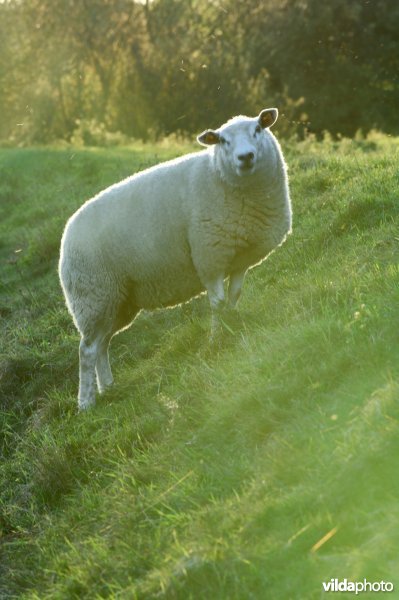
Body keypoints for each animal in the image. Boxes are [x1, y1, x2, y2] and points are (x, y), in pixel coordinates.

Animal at [58, 108, 290, 410]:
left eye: (258, 130)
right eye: (223, 141)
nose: (246, 157)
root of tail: (66, 234)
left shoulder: (238, 258)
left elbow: (234, 296)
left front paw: (234, 324)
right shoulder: (209, 257)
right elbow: (217, 303)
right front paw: (217, 338)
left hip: (117, 300)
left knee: (101, 344)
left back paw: (107, 387)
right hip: (92, 295)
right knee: (86, 349)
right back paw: (86, 402)